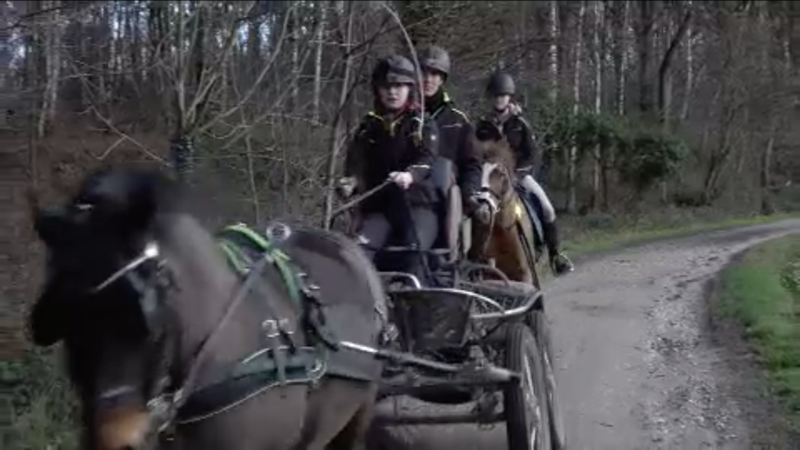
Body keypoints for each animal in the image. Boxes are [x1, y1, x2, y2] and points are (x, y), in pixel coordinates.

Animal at [466, 135, 540, 286]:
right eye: (476, 170)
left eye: (500, 173)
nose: (483, 209)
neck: (502, 230)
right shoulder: (490, 274)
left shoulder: (525, 273)